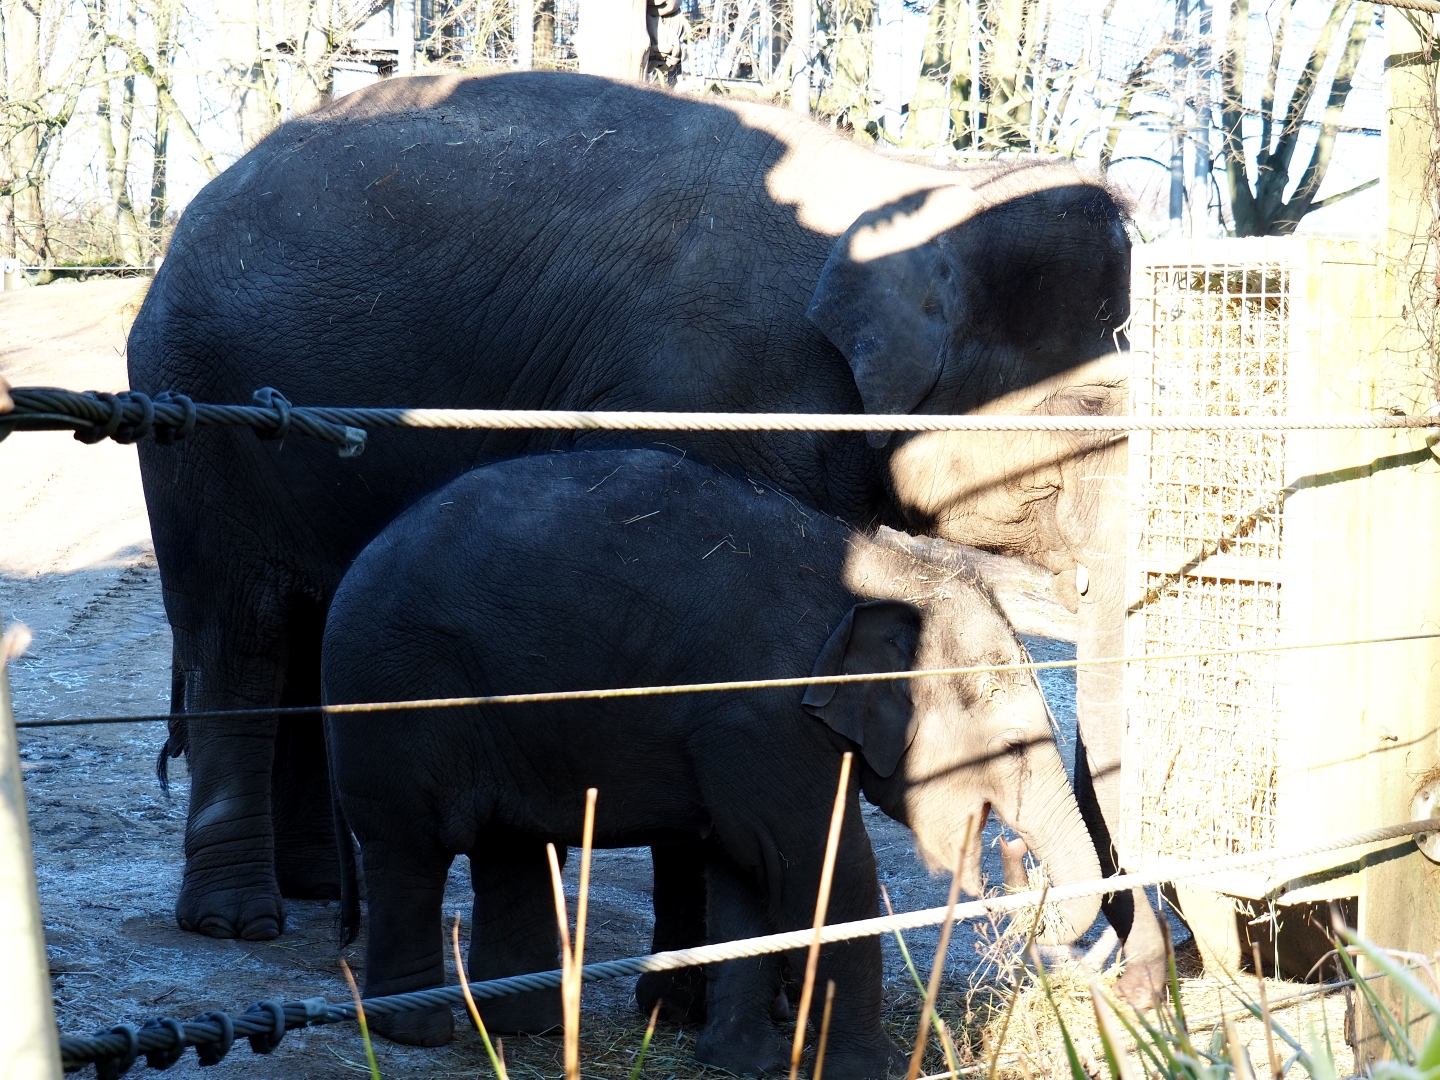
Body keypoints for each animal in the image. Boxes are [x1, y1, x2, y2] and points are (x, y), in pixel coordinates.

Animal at [125, 69, 1161, 1000]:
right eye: (1089, 411)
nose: (1139, 981)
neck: (920, 181)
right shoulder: (705, 392)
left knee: (302, 626)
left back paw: (305, 886)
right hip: (199, 415)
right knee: (241, 633)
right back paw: (237, 919)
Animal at [320, 448, 1104, 1079]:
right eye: (1010, 748)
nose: (1013, 880)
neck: (897, 572)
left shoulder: (740, 738)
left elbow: (745, 869)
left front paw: (740, 1061)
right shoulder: (761, 717)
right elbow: (819, 863)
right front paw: (866, 1070)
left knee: (509, 846)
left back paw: (524, 1026)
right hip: (394, 694)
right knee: (411, 848)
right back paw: (416, 1032)